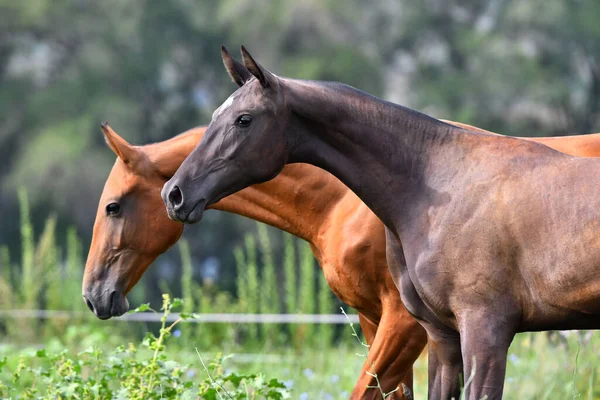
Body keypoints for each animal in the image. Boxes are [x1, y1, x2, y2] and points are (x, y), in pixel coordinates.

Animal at [164, 47, 600, 400]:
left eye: (244, 119)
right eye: (216, 115)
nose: (175, 194)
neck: (436, 187)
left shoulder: (486, 330)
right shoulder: (442, 337)